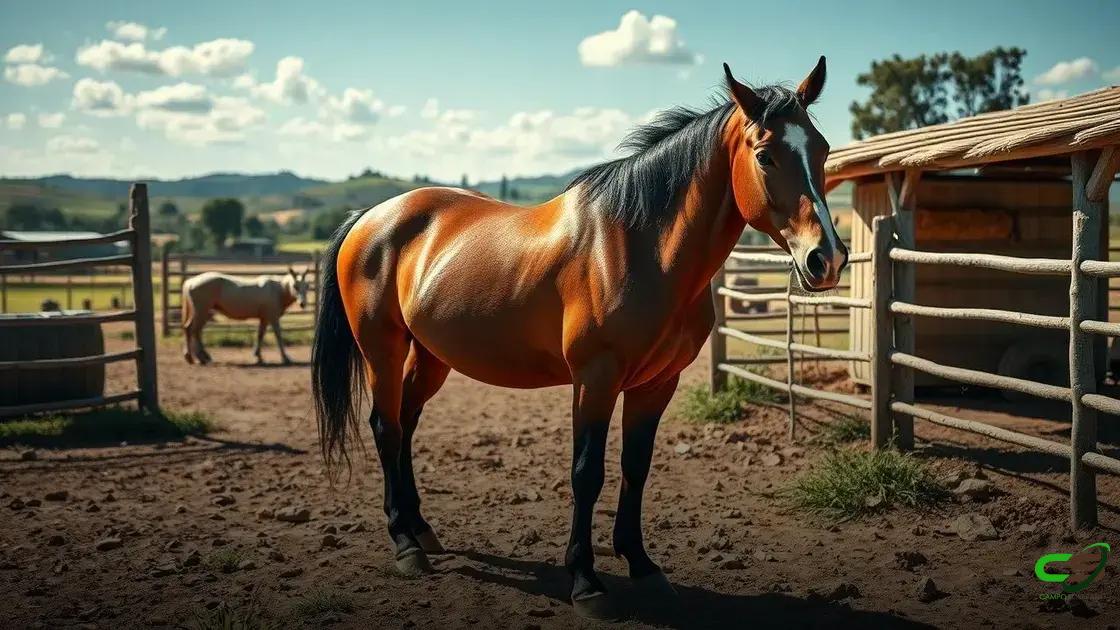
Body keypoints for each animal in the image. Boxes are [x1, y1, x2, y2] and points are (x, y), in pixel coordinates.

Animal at [181, 266, 310, 365]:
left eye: (307, 286)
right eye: (295, 286)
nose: (302, 303)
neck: (278, 290)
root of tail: (190, 282)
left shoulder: (264, 318)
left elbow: (260, 335)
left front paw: (258, 357)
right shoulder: (273, 317)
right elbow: (278, 336)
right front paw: (286, 358)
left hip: (205, 313)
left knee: (193, 330)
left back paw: (196, 357)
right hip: (201, 311)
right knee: (193, 330)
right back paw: (198, 357)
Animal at [311, 57, 845, 621]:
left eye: (822, 148)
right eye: (765, 155)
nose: (826, 258)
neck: (638, 246)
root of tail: (371, 217)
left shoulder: (657, 384)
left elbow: (636, 467)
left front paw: (643, 566)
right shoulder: (595, 380)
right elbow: (586, 473)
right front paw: (586, 581)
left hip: (432, 355)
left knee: (407, 423)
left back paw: (421, 528)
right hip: (382, 349)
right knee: (386, 427)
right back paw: (405, 543)